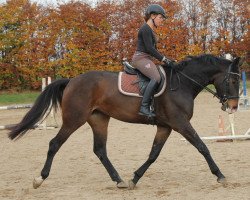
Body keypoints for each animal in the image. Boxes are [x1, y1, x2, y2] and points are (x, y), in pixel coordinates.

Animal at [8, 54, 241, 189]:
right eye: (232, 80)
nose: (233, 106)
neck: (182, 83)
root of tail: (72, 80)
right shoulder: (180, 123)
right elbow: (202, 147)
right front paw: (220, 175)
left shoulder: (165, 126)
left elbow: (153, 154)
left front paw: (134, 178)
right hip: (74, 119)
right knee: (54, 144)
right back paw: (39, 179)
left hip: (99, 119)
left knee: (100, 150)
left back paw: (118, 180)